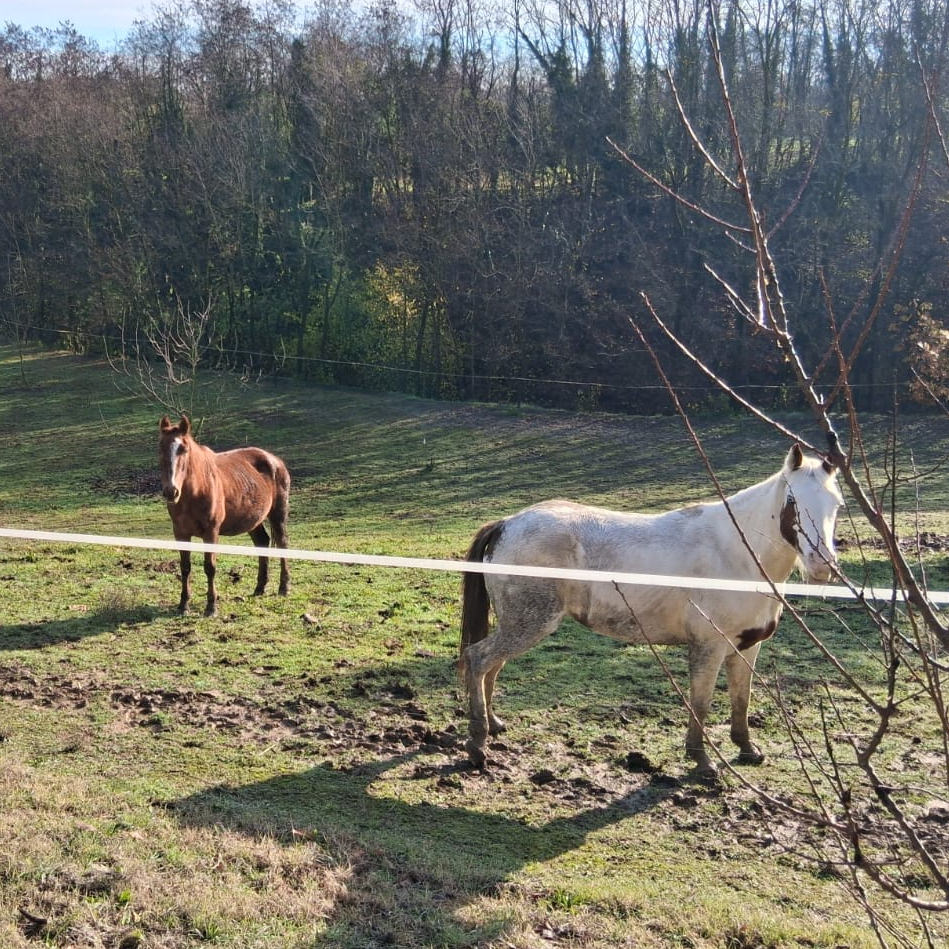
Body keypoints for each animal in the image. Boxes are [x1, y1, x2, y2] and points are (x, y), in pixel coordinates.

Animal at [158, 414, 291, 616]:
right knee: (262, 541)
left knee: (282, 543)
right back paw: (260, 588)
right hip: (253, 520)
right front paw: (183, 605)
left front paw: (211, 606)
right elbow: (185, 567)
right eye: (161, 447)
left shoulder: (211, 532)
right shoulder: (180, 533)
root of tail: (275, 460)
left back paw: (283, 587)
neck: (195, 491)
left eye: (184, 449)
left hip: (278, 514)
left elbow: (210, 567)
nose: (171, 491)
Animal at [459, 444, 843, 776]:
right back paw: (477, 744)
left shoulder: (747, 647)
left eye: (837, 503)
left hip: (517, 624)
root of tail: (507, 524)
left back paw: (494, 725)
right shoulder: (708, 646)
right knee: (478, 659)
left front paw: (747, 749)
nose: (821, 566)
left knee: (492, 666)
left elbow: (741, 699)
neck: (737, 554)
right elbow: (701, 702)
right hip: (528, 624)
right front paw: (702, 762)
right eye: (792, 500)